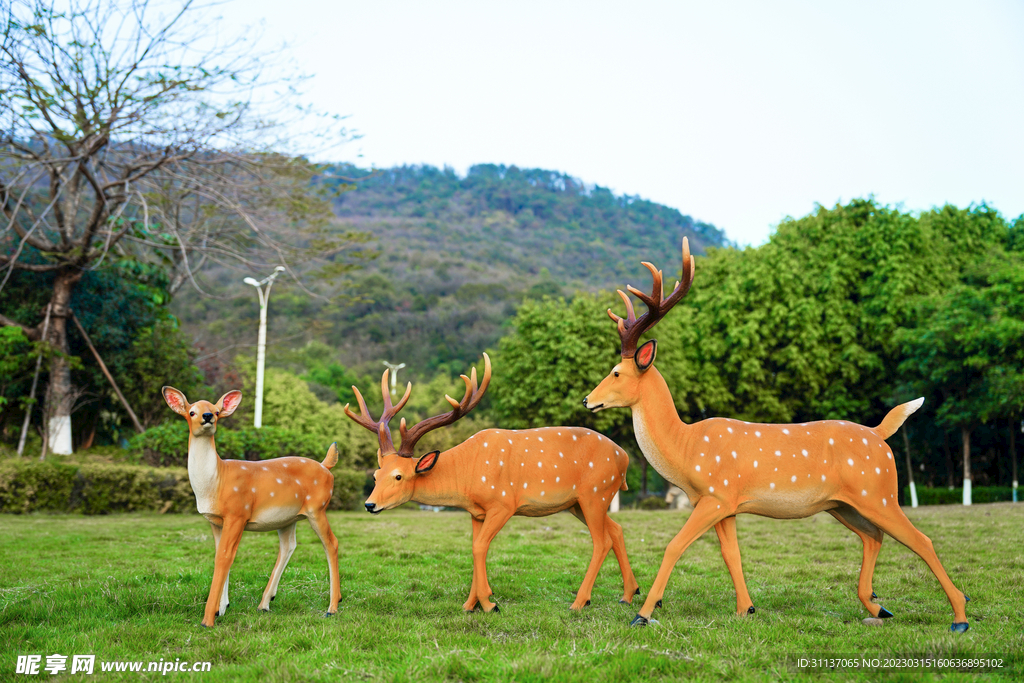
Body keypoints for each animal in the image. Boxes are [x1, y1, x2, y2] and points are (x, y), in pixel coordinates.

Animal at [161, 387, 342, 626]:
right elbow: (219, 554)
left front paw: (208, 619)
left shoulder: (237, 513)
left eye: (216, 411)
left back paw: (332, 607)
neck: (216, 481)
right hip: (288, 517)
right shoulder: (215, 521)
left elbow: (224, 557)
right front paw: (221, 608)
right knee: (288, 546)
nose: (207, 417)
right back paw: (265, 603)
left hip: (317, 508)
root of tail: (326, 466)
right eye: (191, 412)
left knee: (331, 543)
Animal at [348, 358, 643, 614]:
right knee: (616, 530)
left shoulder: (503, 503)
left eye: (398, 476)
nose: (369, 504)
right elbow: (474, 546)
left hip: (595, 493)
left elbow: (480, 547)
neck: (468, 476)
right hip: (579, 503)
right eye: (375, 475)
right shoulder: (476, 512)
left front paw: (489, 603)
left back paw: (580, 602)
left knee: (601, 540)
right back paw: (629, 594)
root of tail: (625, 459)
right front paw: (471, 604)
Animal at [585, 237, 966, 634]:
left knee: (920, 539)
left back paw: (959, 617)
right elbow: (731, 554)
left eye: (615, 372)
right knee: (873, 536)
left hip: (879, 491)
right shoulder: (726, 503)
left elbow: (675, 545)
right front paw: (746, 609)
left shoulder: (715, 495)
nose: (587, 400)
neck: (686, 451)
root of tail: (879, 435)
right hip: (843, 503)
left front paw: (643, 613)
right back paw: (878, 607)